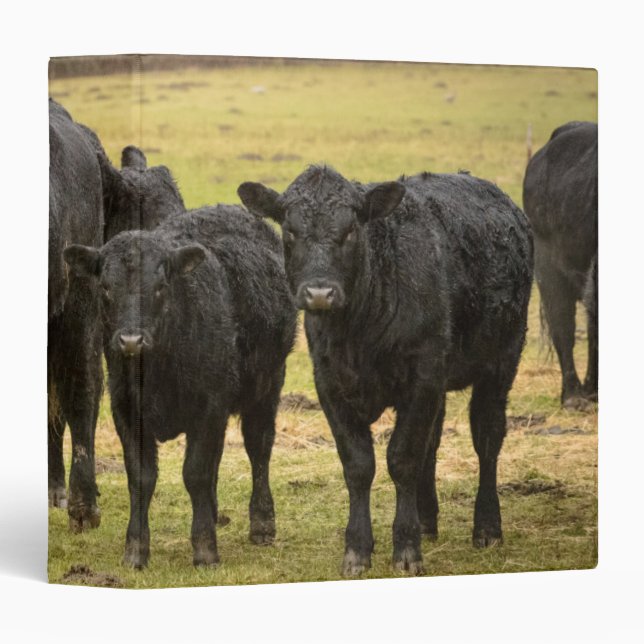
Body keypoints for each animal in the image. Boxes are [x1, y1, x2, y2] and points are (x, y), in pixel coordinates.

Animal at [63, 206, 296, 568]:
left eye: (160, 286)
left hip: (267, 387)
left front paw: (205, 550)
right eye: (105, 287)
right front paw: (135, 551)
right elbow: (141, 477)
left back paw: (262, 524)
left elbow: (195, 473)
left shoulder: (209, 406)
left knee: (258, 448)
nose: (131, 340)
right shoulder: (126, 409)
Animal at [238, 166, 533, 575]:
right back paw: (427, 519)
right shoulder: (330, 384)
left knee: (487, 437)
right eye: (291, 231)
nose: (319, 293)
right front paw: (358, 549)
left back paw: (487, 527)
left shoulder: (421, 379)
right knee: (434, 441)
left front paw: (406, 548)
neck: (358, 331)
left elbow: (403, 459)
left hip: (501, 361)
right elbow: (359, 465)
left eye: (350, 230)